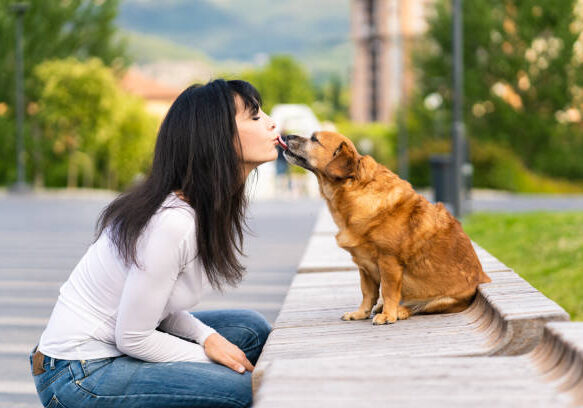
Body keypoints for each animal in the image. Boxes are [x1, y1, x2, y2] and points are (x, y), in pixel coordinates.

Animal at [282, 131, 488, 326]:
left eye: (314, 139)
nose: (287, 135)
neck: (353, 190)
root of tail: (483, 279)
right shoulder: (364, 266)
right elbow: (367, 293)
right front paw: (361, 313)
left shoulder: (389, 262)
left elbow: (388, 291)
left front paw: (388, 315)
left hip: (443, 299)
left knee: (417, 307)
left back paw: (399, 311)